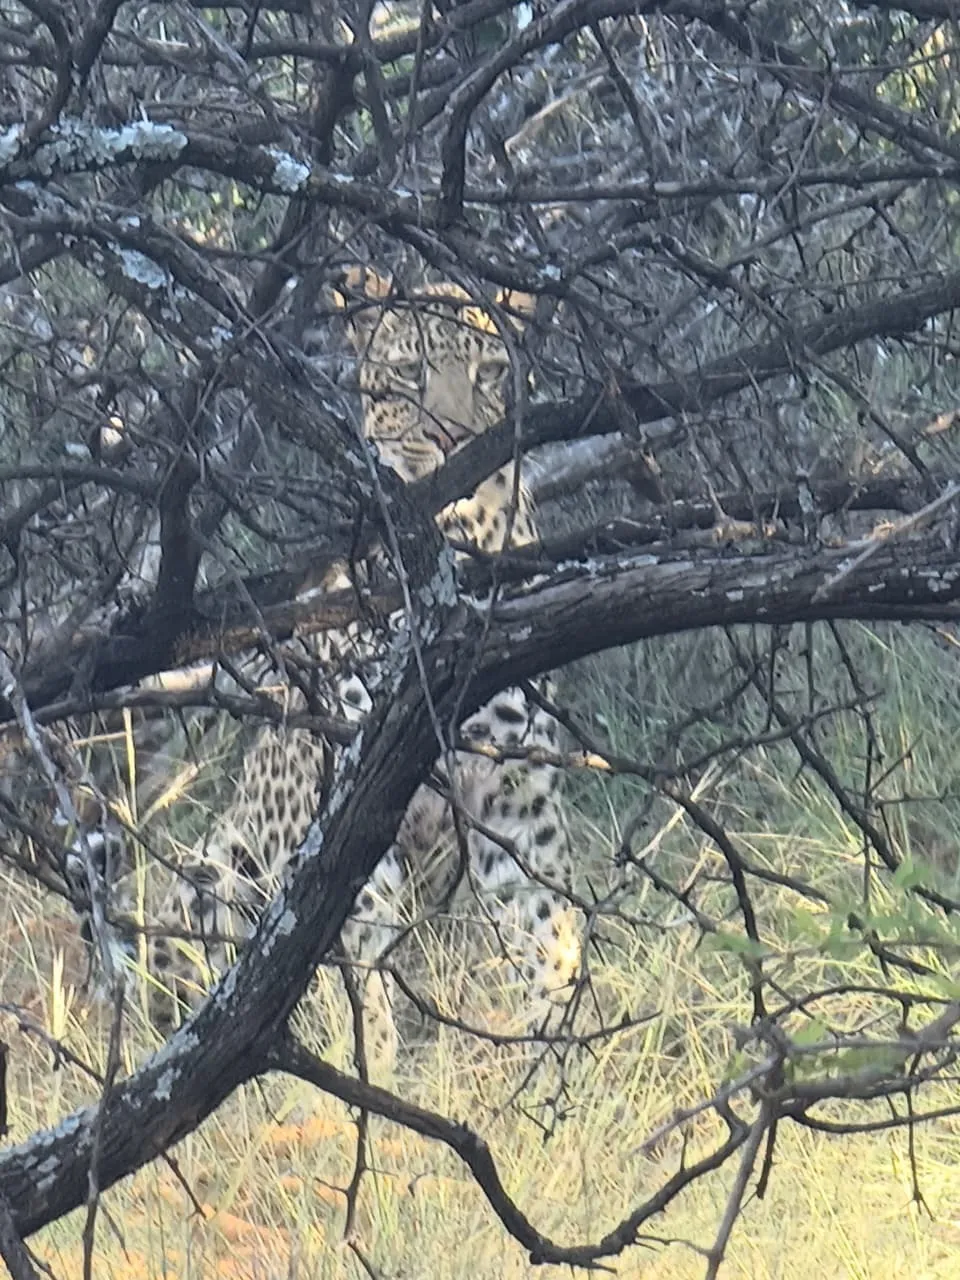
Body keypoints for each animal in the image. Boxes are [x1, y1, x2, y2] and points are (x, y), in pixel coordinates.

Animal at [72, 268, 583, 1078]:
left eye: (489, 372)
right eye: (409, 373)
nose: (452, 437)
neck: (458, 540)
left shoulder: (516, 796)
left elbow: (552, 932)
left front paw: (551, 1070)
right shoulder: (345, 799)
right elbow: (356, 969)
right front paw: (369, 1081)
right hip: (219, 865)